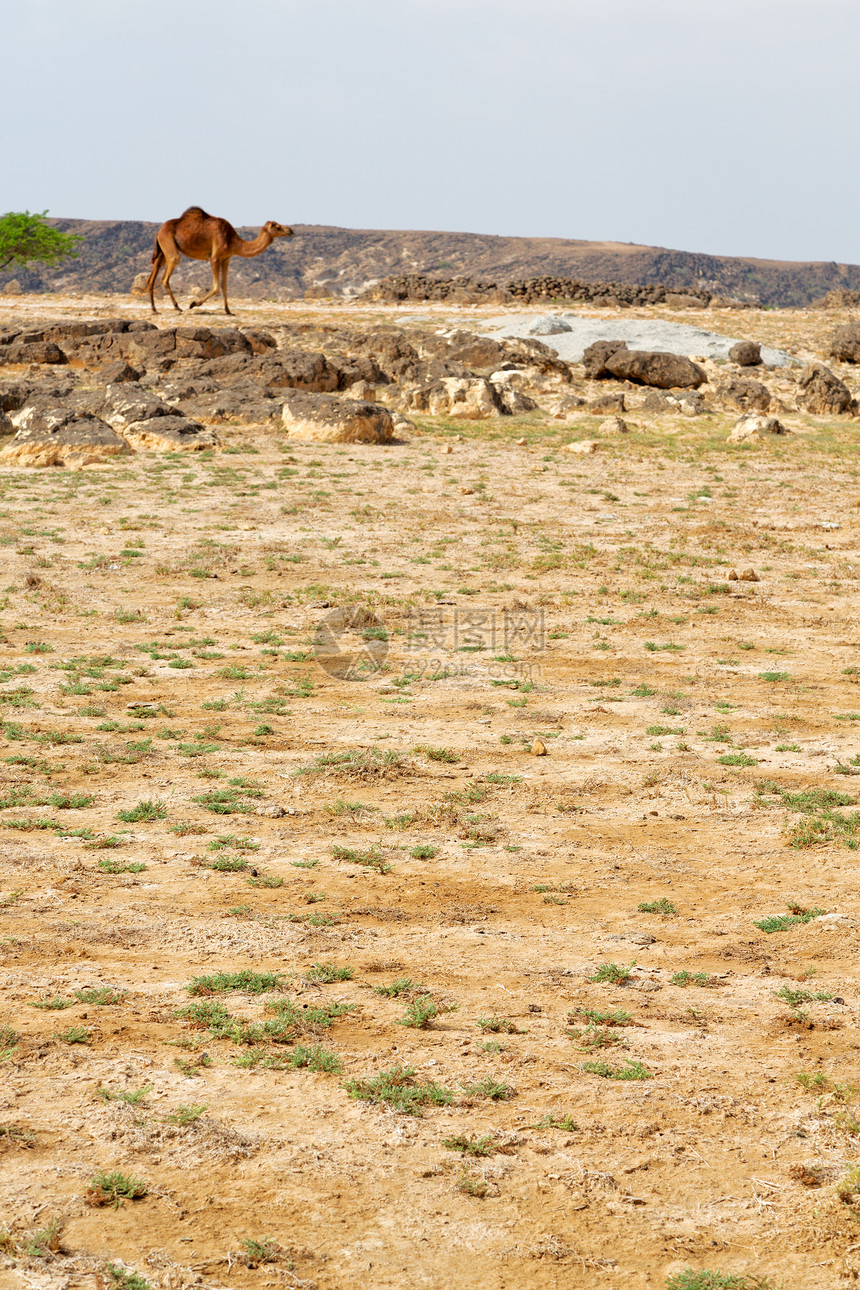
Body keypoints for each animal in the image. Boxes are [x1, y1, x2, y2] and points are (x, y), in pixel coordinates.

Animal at [146, 207, 293, 318]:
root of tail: (159, 231)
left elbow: (224, 285)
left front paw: (228, 311)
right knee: (167, 274)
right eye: (278, 227)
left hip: (162, 250)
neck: (232, 240)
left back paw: (154, 309)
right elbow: (216, 286)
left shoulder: (226, 259)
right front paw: (193, 304)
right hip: (168, 244)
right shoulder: (215, 258)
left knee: (153, 275)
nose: (290, 230)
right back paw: (177, 307)